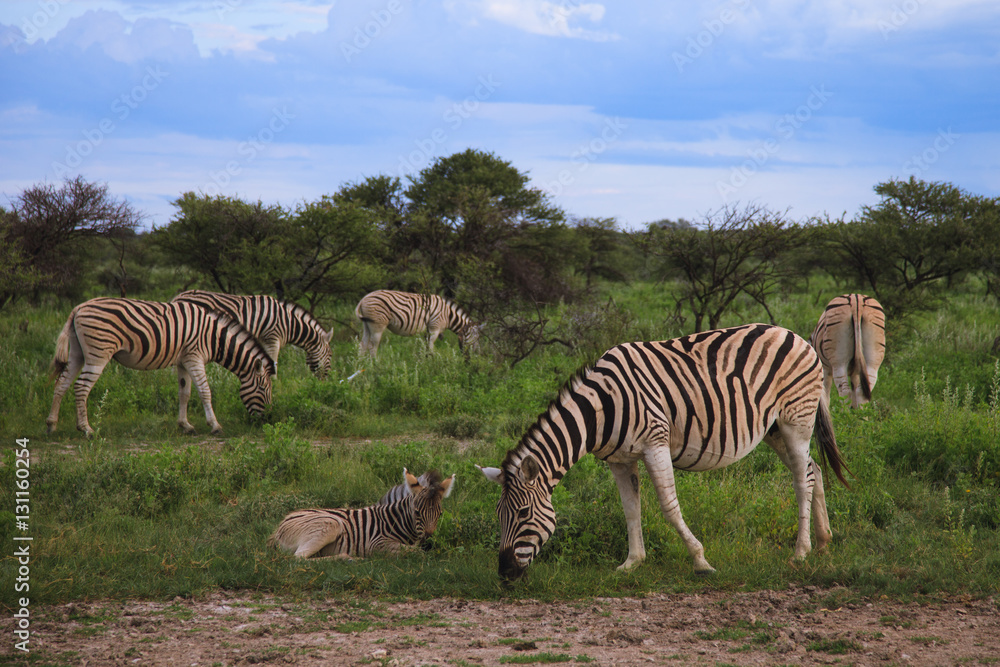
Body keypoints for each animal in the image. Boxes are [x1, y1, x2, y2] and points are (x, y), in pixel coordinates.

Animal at [47, 297, 276, 436]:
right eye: (263, 389)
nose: (267, 421)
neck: (215, 337)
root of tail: (78, 308)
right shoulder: (194, 356)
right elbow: (205, 391)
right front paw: (215, 425)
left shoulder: (183, 361)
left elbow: (184, 392)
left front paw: (185, 425)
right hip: (98, 353)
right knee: (81, 387)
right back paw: (86, 429)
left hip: (77, 353)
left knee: (62, 383)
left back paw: (51, 425)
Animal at [172, 290, 333, 379]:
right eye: (331, 356)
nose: (326, 380)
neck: (289, 323)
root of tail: (177, 297)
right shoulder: (272, 338)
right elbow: (274, 361)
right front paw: (275, 381)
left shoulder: (262, 340)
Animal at [269, 469, 455, 558]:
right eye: (417, 512)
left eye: (440, 514)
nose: (429, 542)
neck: (396, 522)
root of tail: (279, 527)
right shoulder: (376, 543)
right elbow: (416, 552)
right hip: (331, 524)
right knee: (298, 558)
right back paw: (348, 558)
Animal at [478, 323, 850, 581]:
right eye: (499, 514)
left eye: (523, 513)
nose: (504, 574)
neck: (600, 410)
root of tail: (796, 335)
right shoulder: (619, 460)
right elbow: (631, 510)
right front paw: (631, 563)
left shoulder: (655, 443)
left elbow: (669, 507)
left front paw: (701, 561)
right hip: (774, 429)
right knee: (812, 470)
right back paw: (823, 542)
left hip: (796, 419)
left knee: (802, 479)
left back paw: (800, 552)